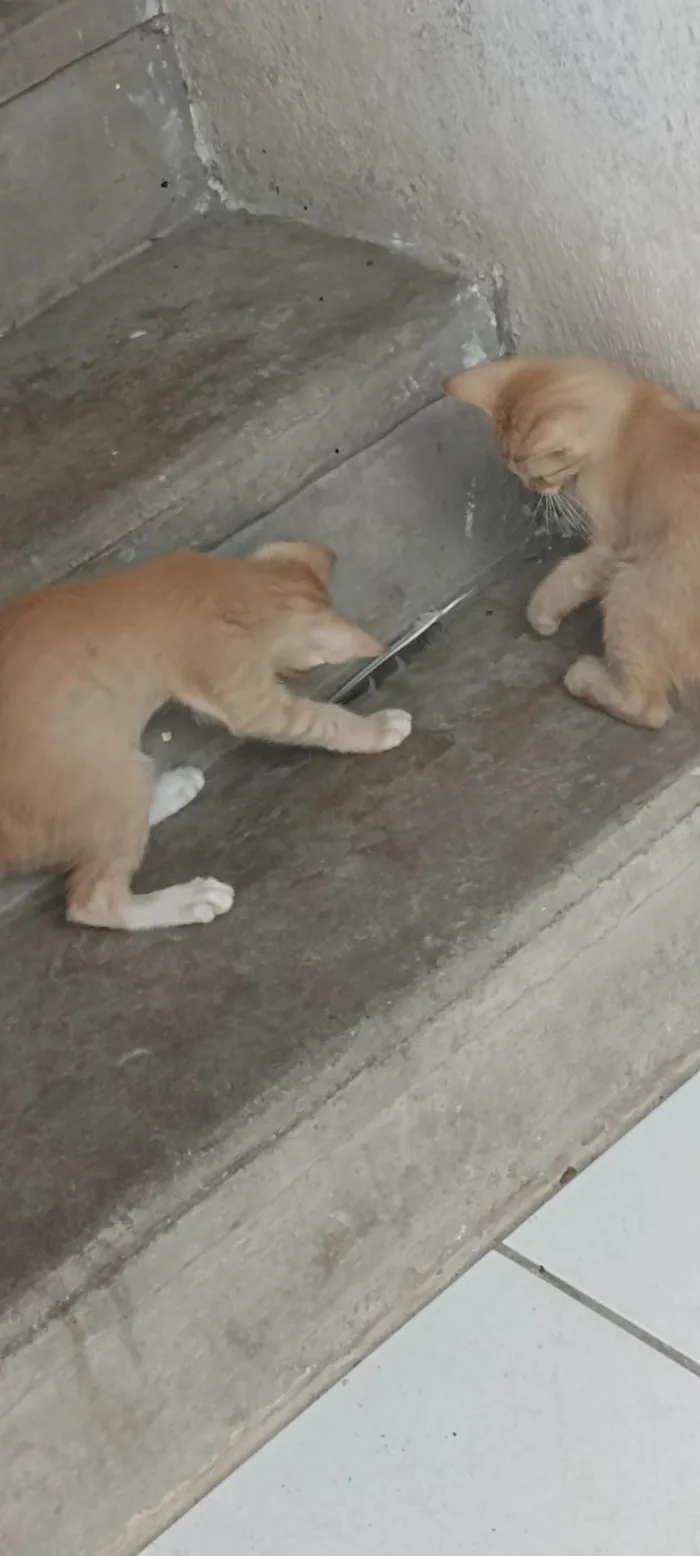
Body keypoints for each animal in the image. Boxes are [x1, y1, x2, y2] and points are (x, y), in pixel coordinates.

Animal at [0, 544, 410, 927]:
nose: (295, 674)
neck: (223, 586)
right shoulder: (252, 700)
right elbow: (325, 721)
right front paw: (378, 729)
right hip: (112, 774)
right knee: (92, 899)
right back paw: (188, 899)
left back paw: (171, 788)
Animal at [441, 356, 700, 731]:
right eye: (515, 471)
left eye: (539, 475)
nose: (531, 489)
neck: (629, 413)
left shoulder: (610, 546)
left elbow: (568, 576)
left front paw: (541, 614)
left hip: (631, 587)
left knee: (650, 710)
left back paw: (584, 677)